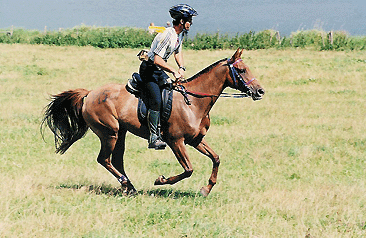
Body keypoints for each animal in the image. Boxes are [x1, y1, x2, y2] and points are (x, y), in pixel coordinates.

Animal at [42, 48, 264, 197]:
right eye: (242, 70)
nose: (260, 91)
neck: (194, 102)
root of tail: (89, 94)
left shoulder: (195, 140)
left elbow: (216, 159)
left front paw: (205, 189)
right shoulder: (176, 141)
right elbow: (188, 169)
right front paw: (161, 180)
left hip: (121, 133)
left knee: (116, 160)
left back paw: (130, 186)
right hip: (109, 133)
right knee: (104, 159)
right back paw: (127, 185)